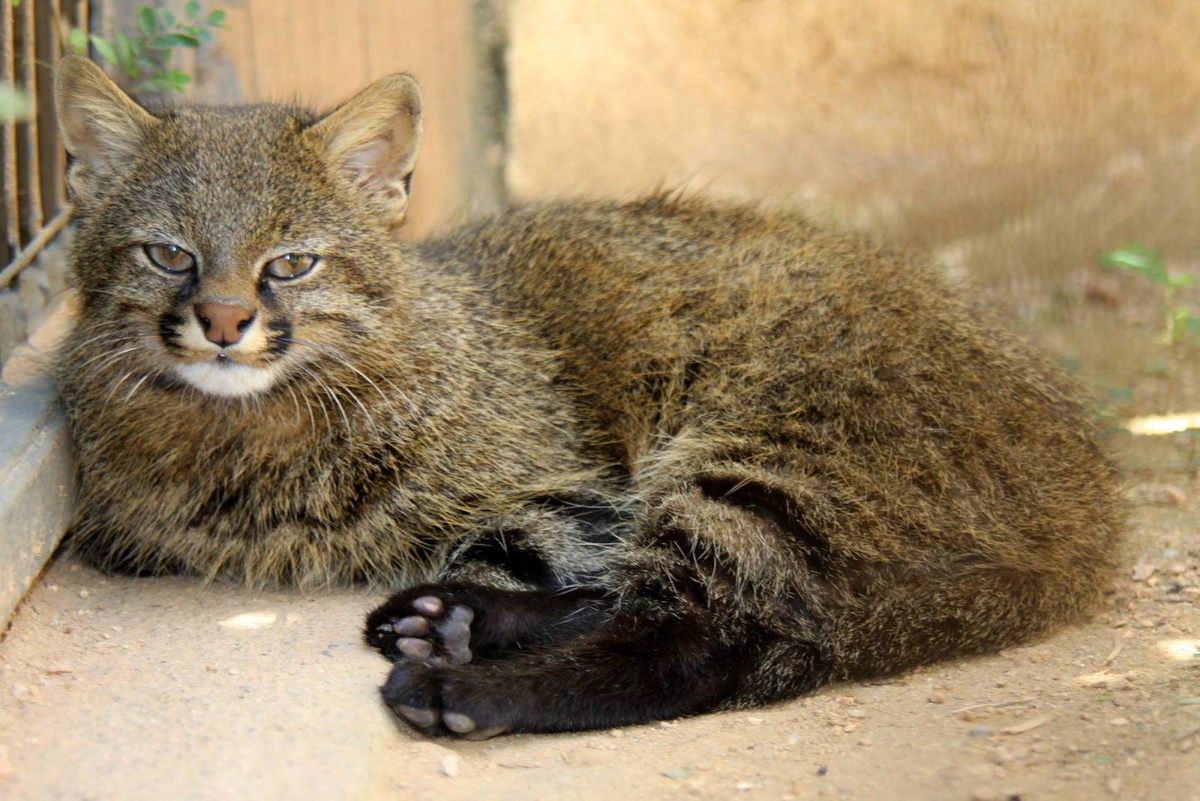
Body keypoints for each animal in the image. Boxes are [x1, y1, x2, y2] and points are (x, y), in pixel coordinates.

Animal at [51, 56, 1118, 738]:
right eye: (169, 254)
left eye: (291, 263)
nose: (224, 321)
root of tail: (1092, 498)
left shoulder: (583, 487)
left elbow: (520, 545)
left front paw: (472, 616)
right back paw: (451, 621)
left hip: (758, 450)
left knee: (707, 635)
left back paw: (464, 674)